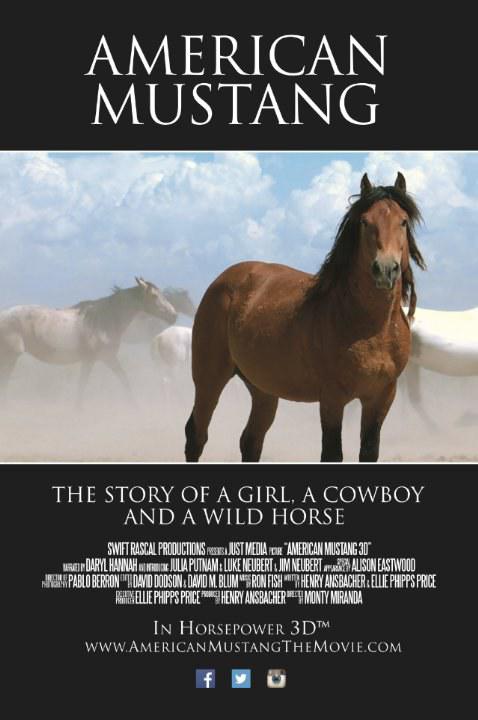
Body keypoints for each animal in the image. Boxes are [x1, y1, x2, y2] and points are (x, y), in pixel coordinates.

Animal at [0, 277, 177, 407]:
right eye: (154, 296)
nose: (173, 315)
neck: (104, 320)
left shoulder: (109, 358)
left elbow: (124, 379)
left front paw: (135, 407)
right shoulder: (91, 359)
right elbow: (82, 385)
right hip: (10, 357)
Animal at [185, 172, 426, 462]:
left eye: (403, 221)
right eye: (365, 222)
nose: (385, 270)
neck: (371, 328)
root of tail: (223, 280)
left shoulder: (381, 397)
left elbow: (369, 450)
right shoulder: (332, 398)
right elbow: (332, 452)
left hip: (263, 389)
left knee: (251, 440)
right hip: (209, 379)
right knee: (197, 434)